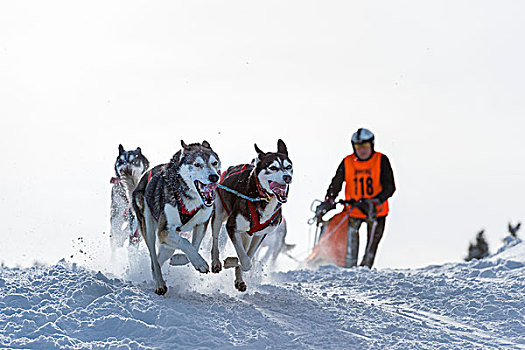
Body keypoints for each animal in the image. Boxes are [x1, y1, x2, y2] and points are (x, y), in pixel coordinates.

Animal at [133, 140, 221, 296]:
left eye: (214, 162)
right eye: (197, 164)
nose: (214, 177)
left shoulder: (201, 224)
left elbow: (194, 246)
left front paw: (181, 259)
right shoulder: (163, 231)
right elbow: (185, 242)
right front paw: (200, 262)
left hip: (166, 243)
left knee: (160, 257)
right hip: (149, 228)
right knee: (154, 258)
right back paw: (159, 284)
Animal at [210, 138, 290, 292]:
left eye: (289, 166)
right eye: (273, 167)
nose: (287, 177)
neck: (262, 198)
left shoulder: (260, 234)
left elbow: (247, 257)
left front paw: (237, 270)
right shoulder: (231, 227)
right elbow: (245, 261)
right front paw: (231, 262)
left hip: (248, 234)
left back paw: (240, 280)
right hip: (219, 215)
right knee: (215, 240)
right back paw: (216, 262)